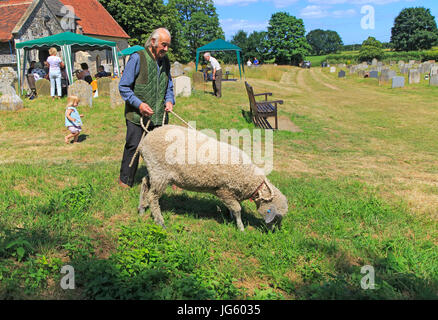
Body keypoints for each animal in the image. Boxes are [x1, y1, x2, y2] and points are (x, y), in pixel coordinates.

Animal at [137, 124, 288, 231]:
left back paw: (142, 208)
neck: (249, 178)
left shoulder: (230, 193)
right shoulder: (224, 190)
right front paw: (241, 227)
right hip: (160, 172)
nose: (272, 232)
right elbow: (237, 209)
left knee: (145, 183)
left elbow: (232, 208)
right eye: (271, 212)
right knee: (153, 196)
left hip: (154, 169)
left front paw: (231, 217)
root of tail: (146, 139)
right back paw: (160, 221)